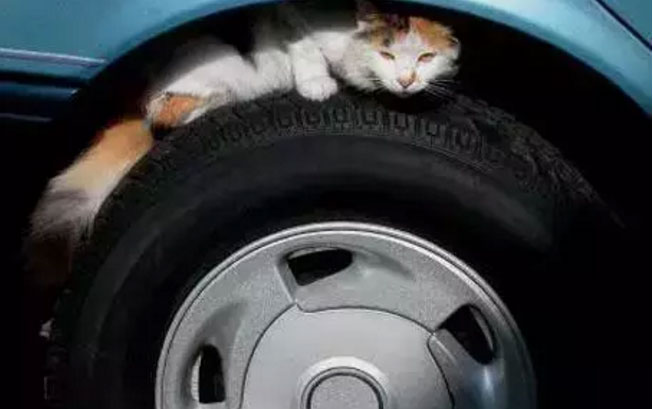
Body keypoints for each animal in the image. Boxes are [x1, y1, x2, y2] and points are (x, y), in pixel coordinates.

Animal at [27, 0, 460, 284]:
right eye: (387, 53)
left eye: (425, 57)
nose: (406, 81)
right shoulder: (289, 14)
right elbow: (305, 49)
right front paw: (317, 85)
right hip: (218, 74)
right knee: (171, 112)